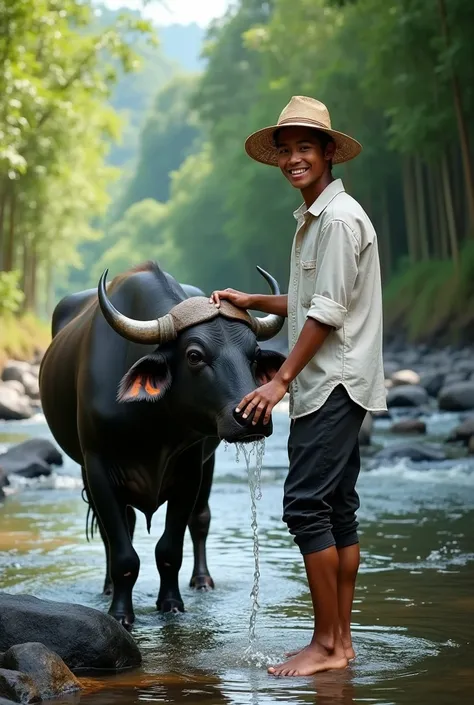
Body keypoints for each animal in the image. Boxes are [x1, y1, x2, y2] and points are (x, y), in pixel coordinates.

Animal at [39, 262, 284, 624]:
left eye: (253, 355)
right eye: (194, 356)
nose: (251, 417)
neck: (152, 422)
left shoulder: (189, 469)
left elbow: (170, 549)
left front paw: (171, 603)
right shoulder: (97, 467)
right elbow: (123, 552)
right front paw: (120, 613)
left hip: (208, 463)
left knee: (201, 520)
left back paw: (202, 581)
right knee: (116, 532)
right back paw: (108, 588)